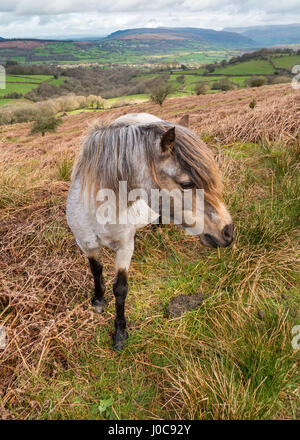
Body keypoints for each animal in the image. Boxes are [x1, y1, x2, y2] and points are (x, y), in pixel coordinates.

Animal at [67, 113, 233, 350]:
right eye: (186, 183)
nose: (228, 232)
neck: (98, 210)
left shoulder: (125, 248)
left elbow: (121, 288)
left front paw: (120, 332)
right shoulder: (86, 244)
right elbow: (96, 271)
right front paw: (98, 300)